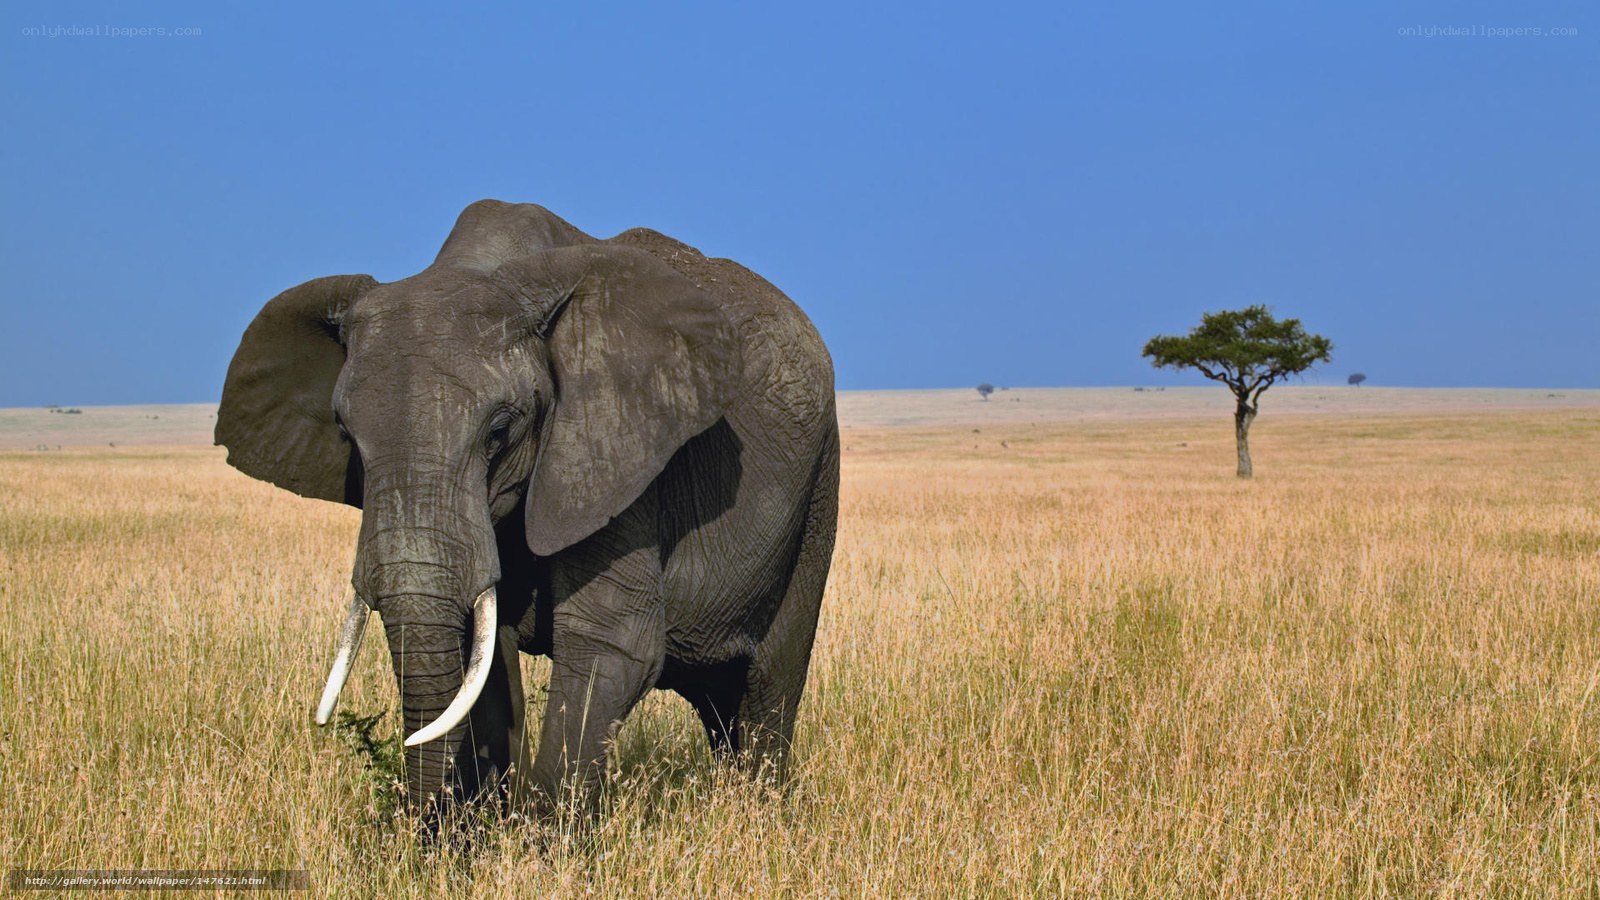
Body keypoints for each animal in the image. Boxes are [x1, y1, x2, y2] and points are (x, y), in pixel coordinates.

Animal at [216, 200, 838, 820]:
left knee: (766, 686)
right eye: (346, 435)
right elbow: (485, 657)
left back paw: (757, 812)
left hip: (817, 491)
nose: (424, 826)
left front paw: (541, 838)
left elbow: (613, 642)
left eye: (499, 432)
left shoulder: (613, 451)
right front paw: (479, 830)